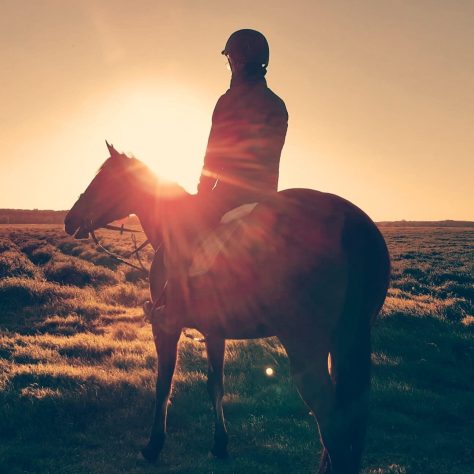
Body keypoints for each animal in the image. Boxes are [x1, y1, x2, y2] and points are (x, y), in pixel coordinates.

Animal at [65, 144, 390, 474]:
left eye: (105, 180)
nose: (70, 218)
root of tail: (348, 220)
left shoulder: (165, 326)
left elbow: (163, 385)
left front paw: (154, 445)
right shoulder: (214, 332)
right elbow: (215, 386)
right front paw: (220, 444)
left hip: (305, 347)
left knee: (331, 421)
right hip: (346, 343)